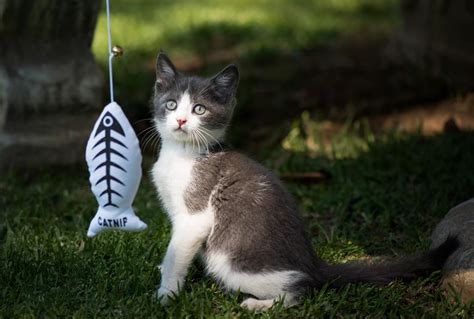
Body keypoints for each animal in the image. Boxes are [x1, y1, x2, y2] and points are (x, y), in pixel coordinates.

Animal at [150, 53, 458, 312]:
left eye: (199, 109)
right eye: (171, 105)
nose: (180, 120)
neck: (182, 154)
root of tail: (312, 262)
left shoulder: (196, 213)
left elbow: (178, 253)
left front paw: (166, 295)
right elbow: (175, 252)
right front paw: (165, 275)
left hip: (232, 263)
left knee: (300, 288)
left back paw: (260, 304)